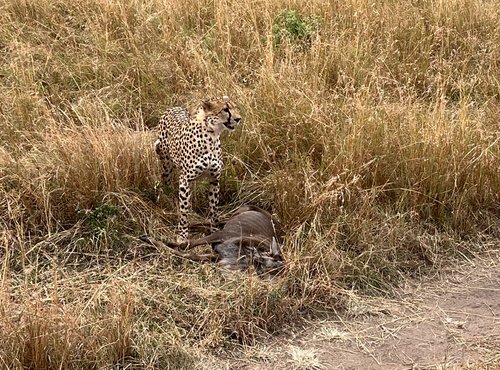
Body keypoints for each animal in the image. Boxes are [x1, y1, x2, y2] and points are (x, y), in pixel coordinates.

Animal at [141, 205, 286, 278]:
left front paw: (151, 240)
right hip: (233, 215)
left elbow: (188, 254)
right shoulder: (223, 236)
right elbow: (186, 244)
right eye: (263, 260)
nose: (255, 258)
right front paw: (149, 238)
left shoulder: (216, 256)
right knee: (212, 223)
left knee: (209, 225)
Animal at [156, 94, 242, 243]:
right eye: (225, 109)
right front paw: (182, 236)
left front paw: (214, 230)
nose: (238, 119)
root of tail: (175, 107)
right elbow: (183, 212)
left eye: (235, 107)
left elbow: (214, 206)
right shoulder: (185, 179)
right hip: (166, 165)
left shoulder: (214, 179)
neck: (212, 135)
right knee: (167, 184)